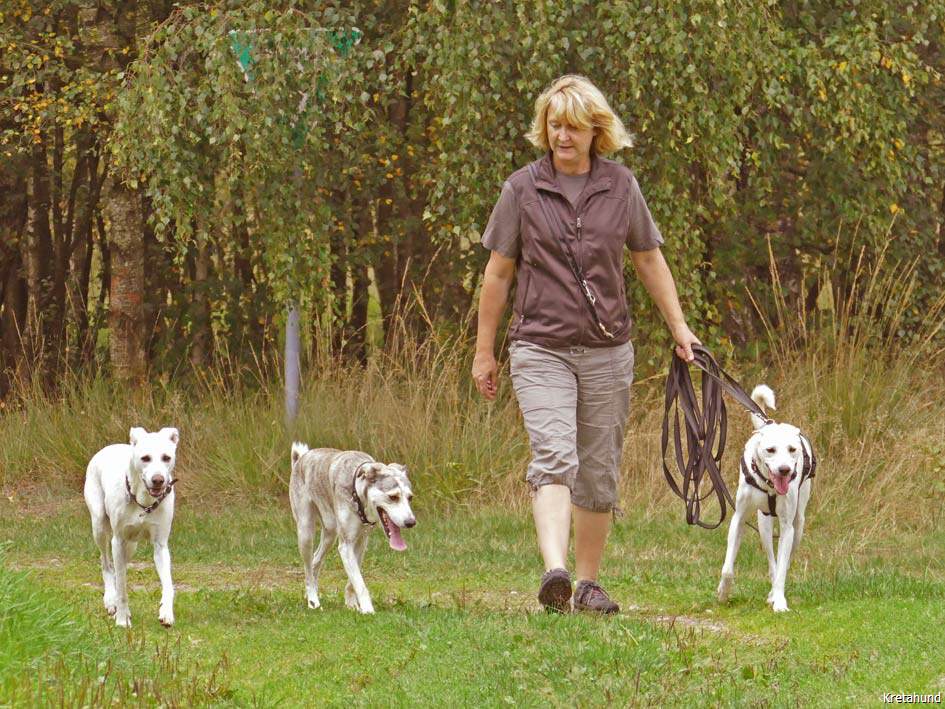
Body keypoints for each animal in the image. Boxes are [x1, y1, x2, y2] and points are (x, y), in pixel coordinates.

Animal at [83, 427, 179, 627]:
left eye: (166, 457)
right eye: (145, 458)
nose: (158, 480)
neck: (144, 502)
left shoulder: (160, 545)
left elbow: (168, 584)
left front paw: (166, 612)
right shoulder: (118, 541)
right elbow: (122, 588)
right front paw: (122, 620)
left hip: (131, 546)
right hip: (100, 527)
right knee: (106, 563)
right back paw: (110, 600)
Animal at [289, 443, 415, 614]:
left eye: (410, 498)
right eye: (393, 497)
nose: (411, 522)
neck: (356, 493)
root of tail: (300, 459)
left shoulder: (361, 541)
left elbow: (353, 579)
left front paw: (351, 604)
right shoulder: (346, 545)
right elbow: (359, 583)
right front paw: (368, 610)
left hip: (330, 534)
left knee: (316, 560)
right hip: (305, 532)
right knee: (308, 569)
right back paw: (313, 600)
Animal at [717, 385, 815, 612]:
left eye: (792, 449)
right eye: (770, 450)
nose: (785, 470)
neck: (769, 485)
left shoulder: (788, 527)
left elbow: (782, 569)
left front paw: (779, 601)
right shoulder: (739, 519)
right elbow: (728, 568)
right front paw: (723, 592)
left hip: (799, 525)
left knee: (783, 562)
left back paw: (773, 594)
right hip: (763, 524)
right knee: (772, 560)